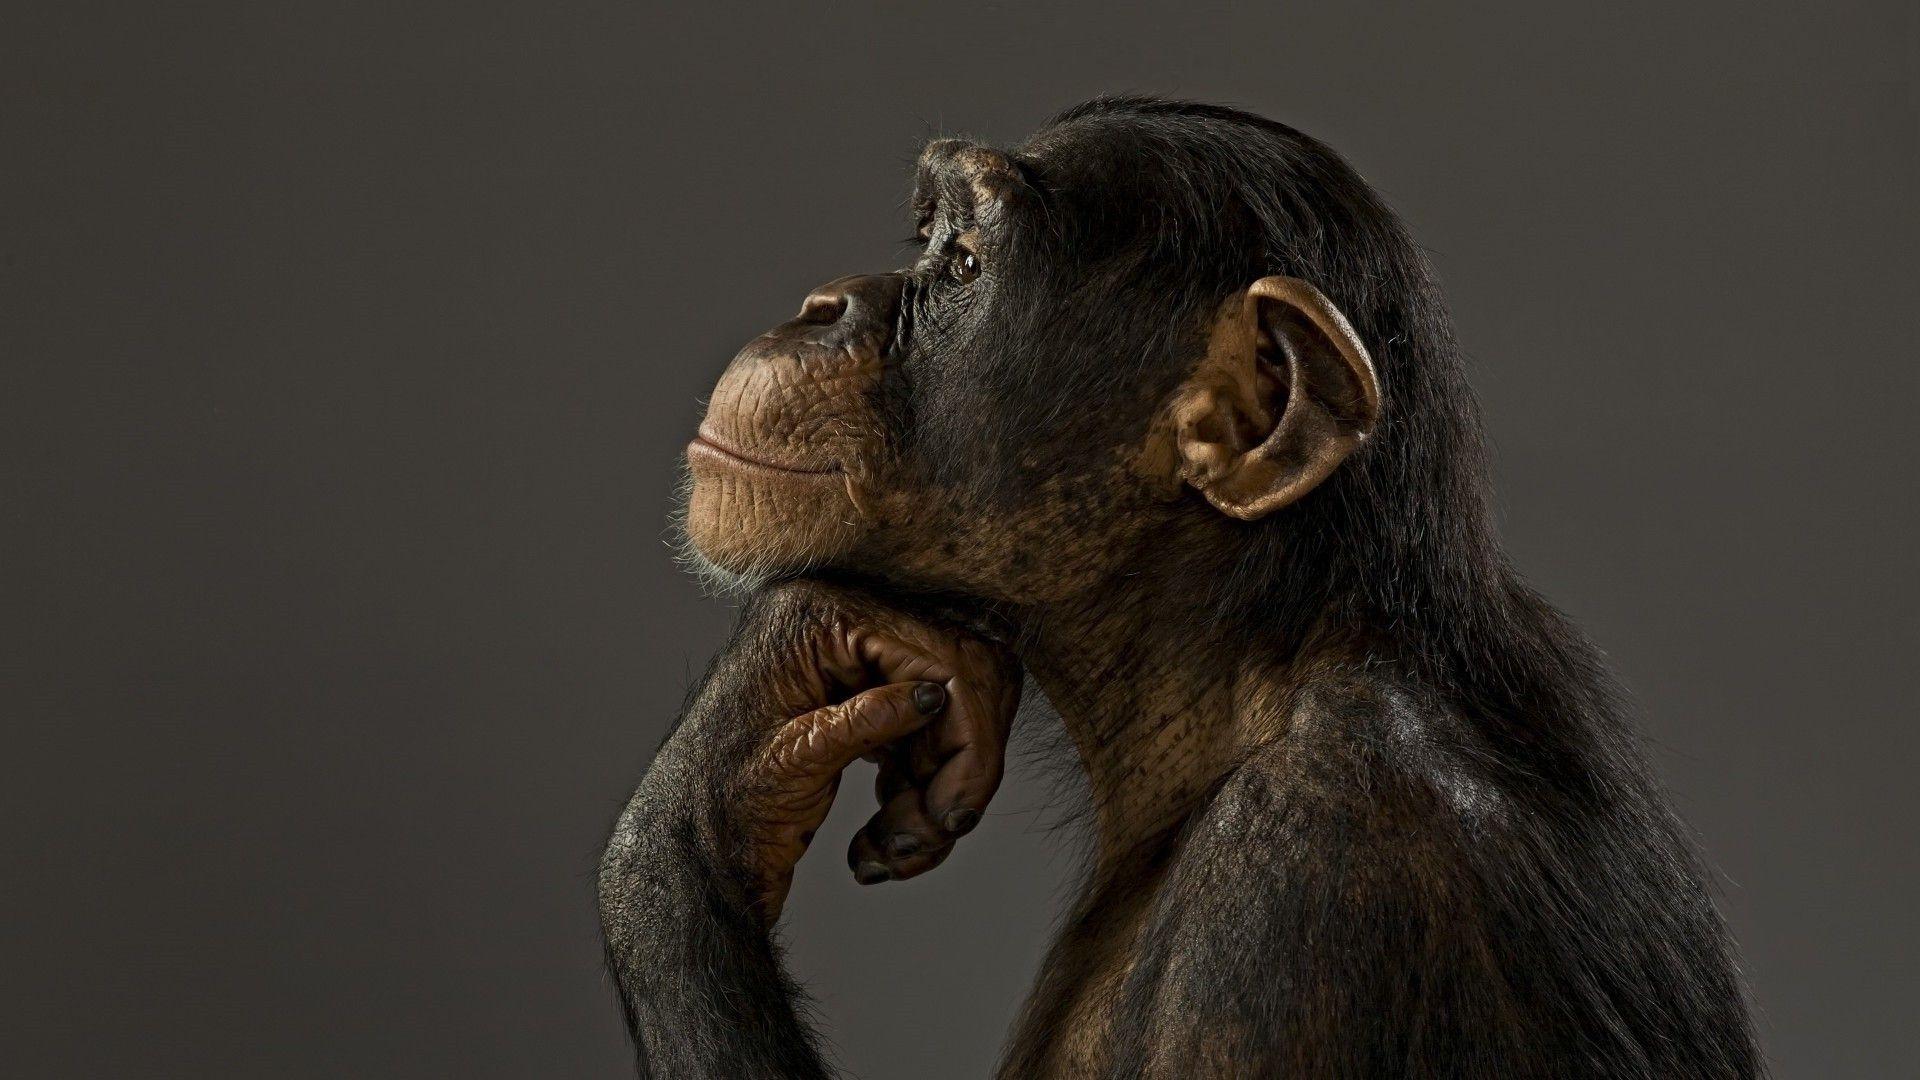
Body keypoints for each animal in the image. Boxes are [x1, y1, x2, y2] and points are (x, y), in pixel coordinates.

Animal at [597, 97, 1759, 1078]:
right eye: (925, 240)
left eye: (963, 262)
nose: (821, 304)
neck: (1255, 671)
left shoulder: (1309, 888)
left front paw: (718, 763)